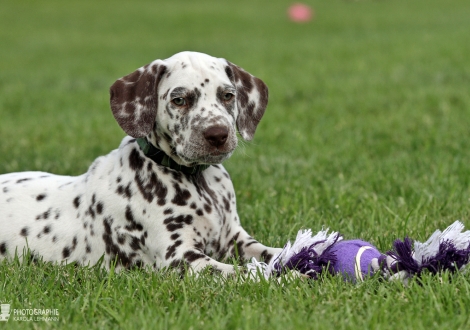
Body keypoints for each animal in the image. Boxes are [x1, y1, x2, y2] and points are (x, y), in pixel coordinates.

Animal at [0, 51, 282, 276]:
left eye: (227, 95)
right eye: (179, 100)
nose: (217, 134)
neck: (197, 181)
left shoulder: (235, 239)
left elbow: (274, 253)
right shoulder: (180, 257)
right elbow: (243, 273)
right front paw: (283, 280)